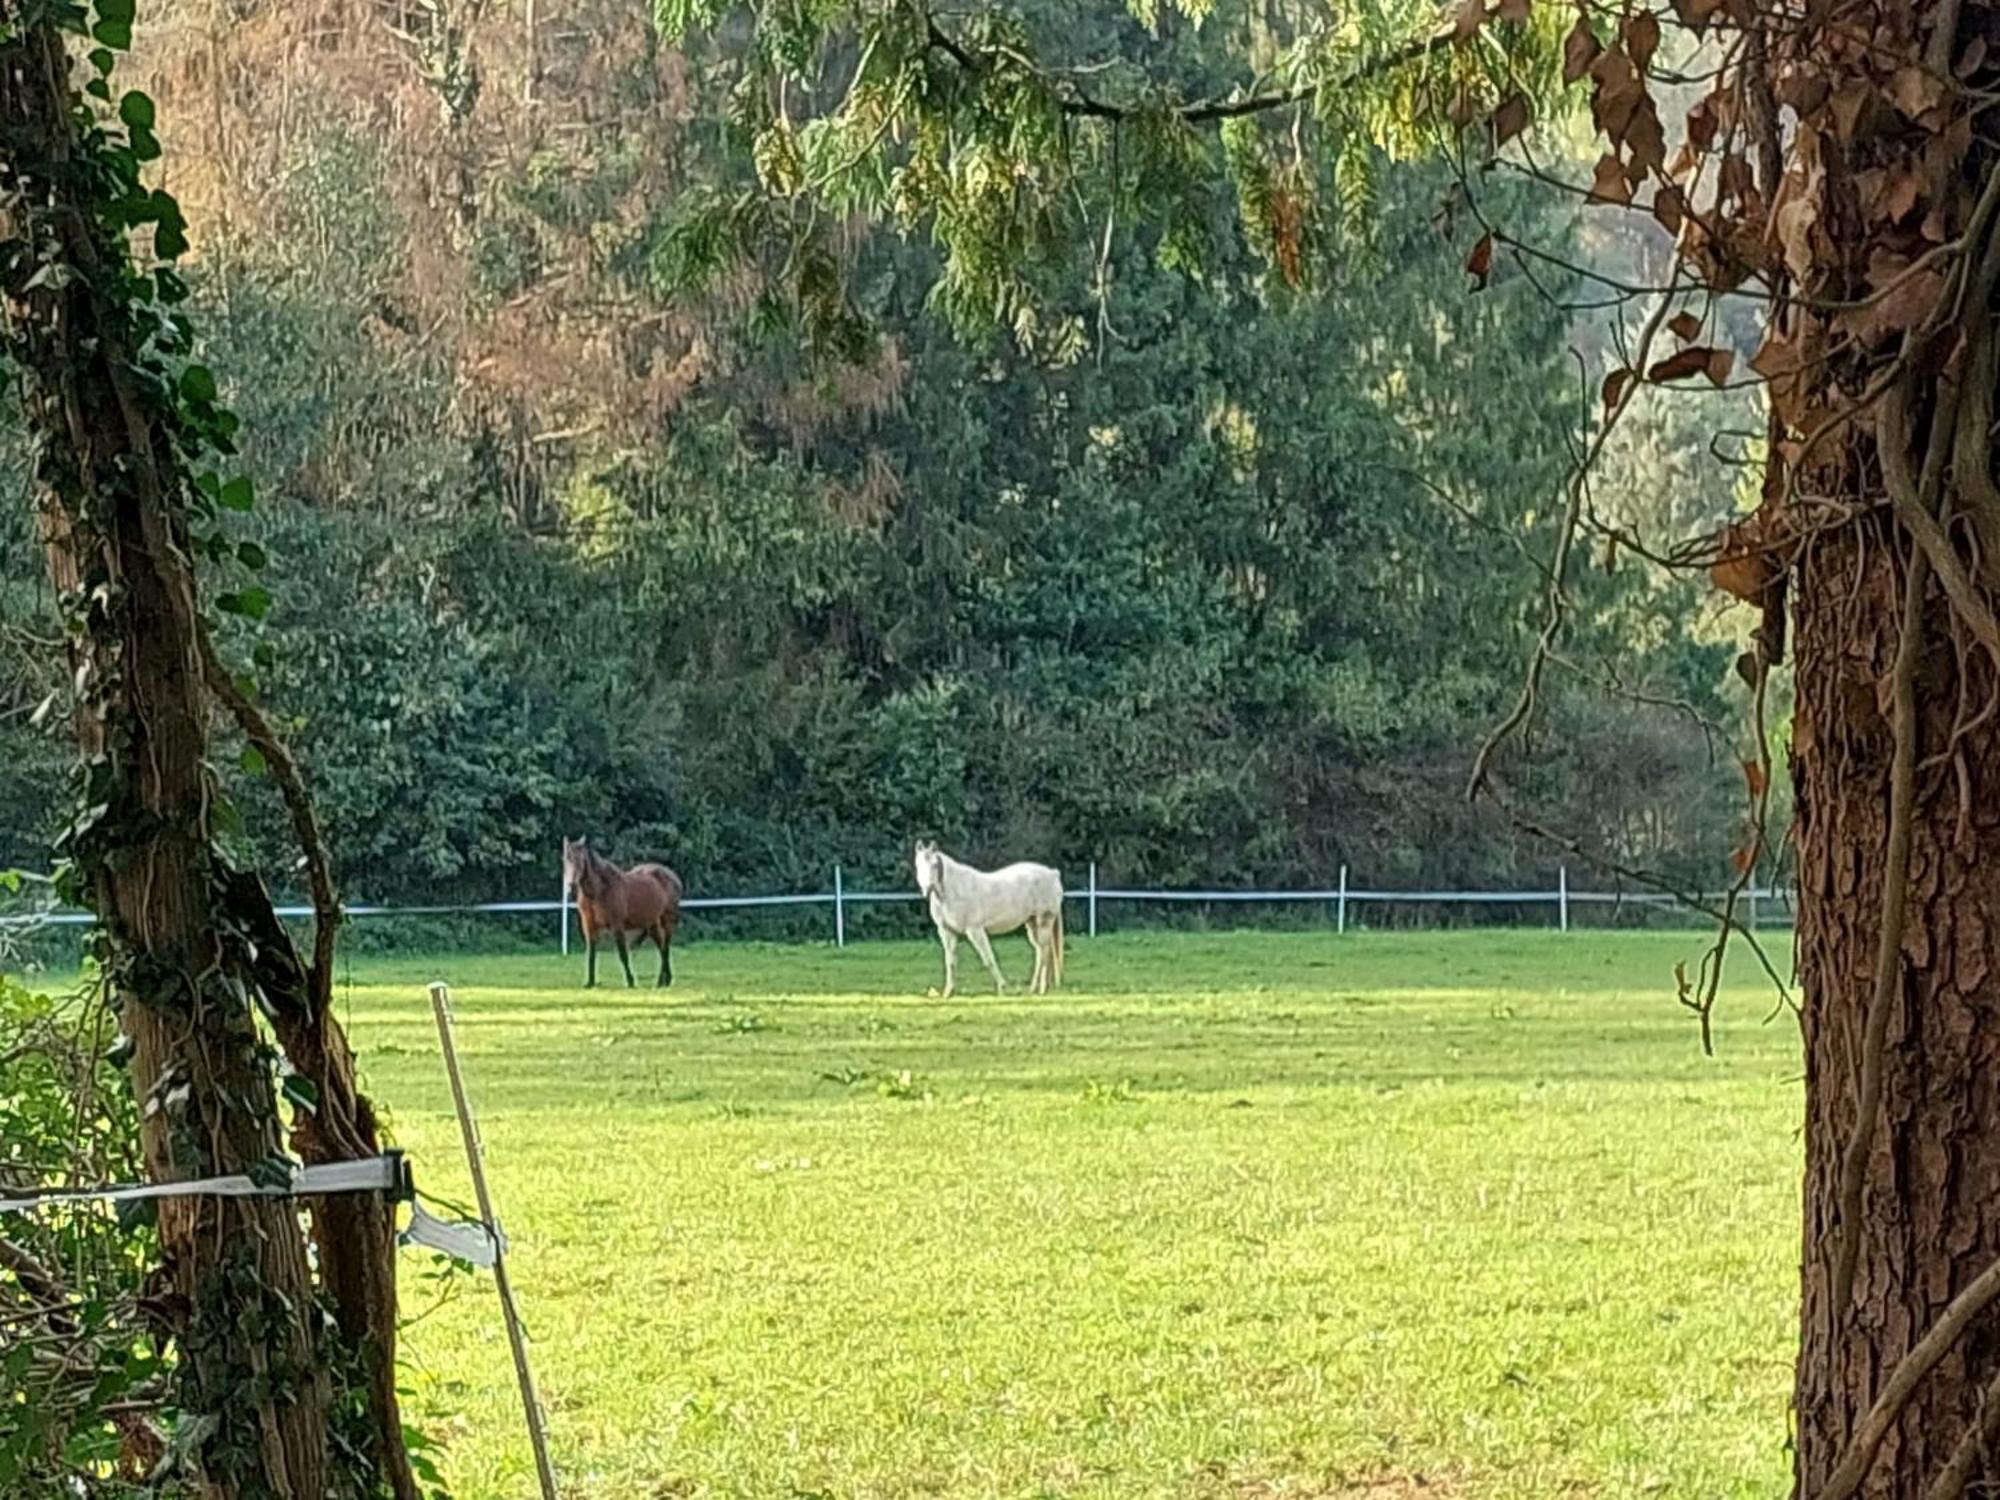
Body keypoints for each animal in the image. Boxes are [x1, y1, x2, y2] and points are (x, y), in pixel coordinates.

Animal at [564, 840, 688, 992]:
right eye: (566, 859)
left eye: (580, 860)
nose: (570, 887)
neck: (599, 891)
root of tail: (673, 877)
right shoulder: (589, 927)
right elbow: (591, 955)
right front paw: (590, 983)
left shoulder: (617, 926)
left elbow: (622, 953)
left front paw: (630, 982)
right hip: (652, 924)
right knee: (661, 946)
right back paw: (662, 981)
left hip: (667, 921)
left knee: (665, 948)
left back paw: (663, 981)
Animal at [916, 848, 1064, 1000]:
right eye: (917, 865)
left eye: (935, 865)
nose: (927, 890)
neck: (955, 891)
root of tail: (1053, 873)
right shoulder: (947, 932)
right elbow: (950, 961)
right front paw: (948, 992)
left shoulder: (975, 930)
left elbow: (988, 958)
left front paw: (1002, 987)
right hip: (1032, 923)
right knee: (1041, 951)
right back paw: (1037, 988)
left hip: (1044, 921)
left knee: (1044, 952)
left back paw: (1039, 989)